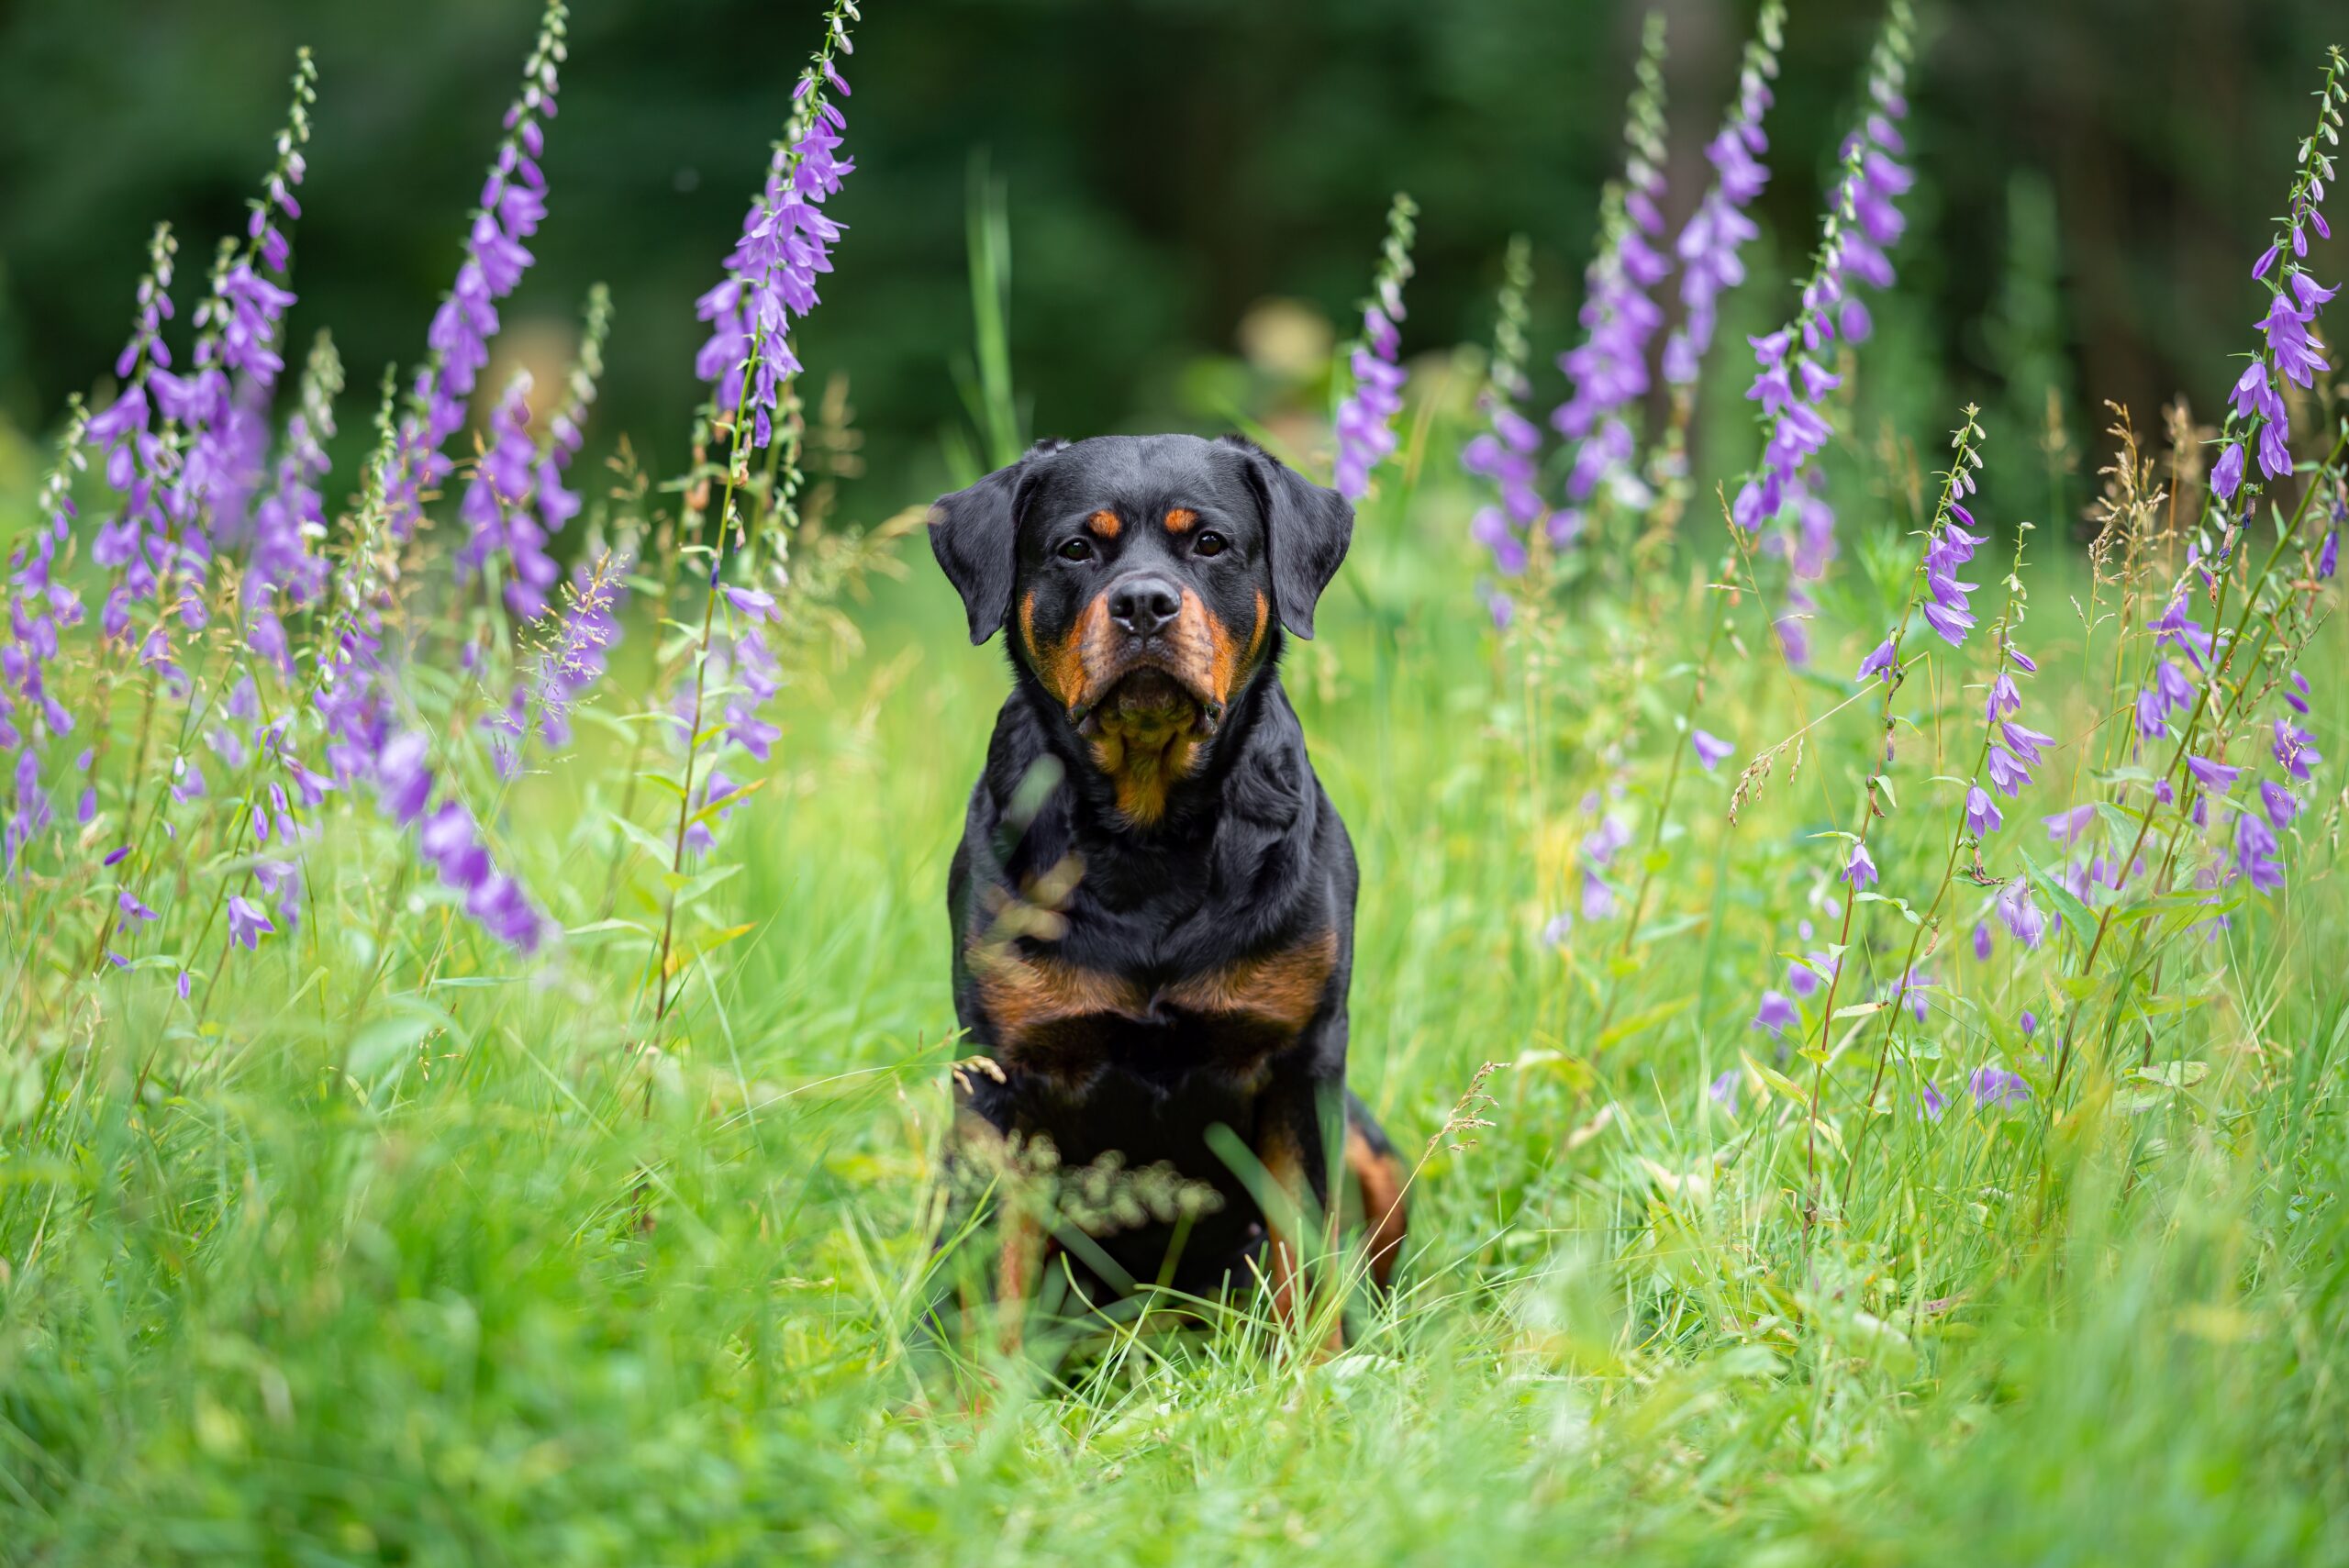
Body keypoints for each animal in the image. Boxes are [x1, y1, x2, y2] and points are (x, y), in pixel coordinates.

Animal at [920, 429, 1399, 1351]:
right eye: (1077, 548)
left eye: (1208, 542)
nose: (1144, 601)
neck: (1150, 833)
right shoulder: (1000, 1082)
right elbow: (994, 1284)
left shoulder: (1303, 1064)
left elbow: (1308, 1257)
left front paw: (1314, 1373)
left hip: (1370, 1144)